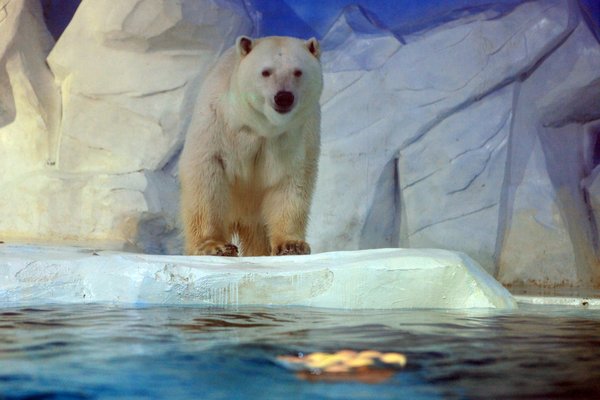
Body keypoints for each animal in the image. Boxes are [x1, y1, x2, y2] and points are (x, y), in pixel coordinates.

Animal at [179, 36, 324, 256]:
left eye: (298, 71)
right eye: (266, 71)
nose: (283, 97)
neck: (261, 126)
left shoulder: (299, 135)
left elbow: (292, 182)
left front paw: (292, 245)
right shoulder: (217, 122)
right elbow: (207, 174)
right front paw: (214, 246)